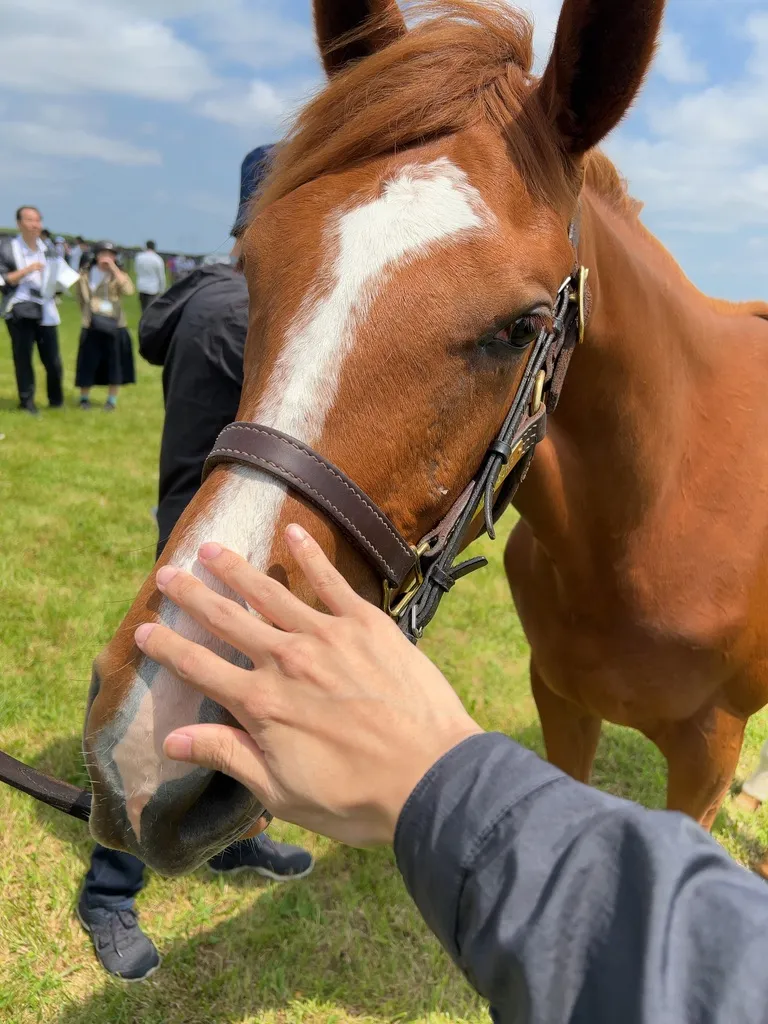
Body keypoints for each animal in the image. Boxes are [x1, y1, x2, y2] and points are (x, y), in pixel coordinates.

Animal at [83, 0, 768, 876]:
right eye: (251, 267)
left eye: (521, 328)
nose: (153, 738)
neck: (653, 516)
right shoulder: (561, 702)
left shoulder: (706, 756)